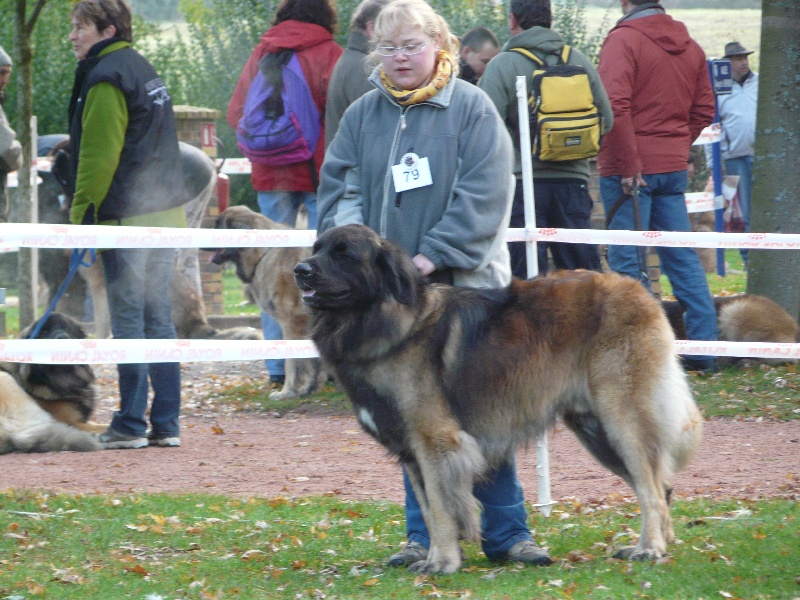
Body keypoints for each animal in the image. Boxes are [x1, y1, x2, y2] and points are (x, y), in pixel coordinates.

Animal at [206, 206, 324, 398]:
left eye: (217, 225)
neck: (263, 252)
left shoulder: (293, 323)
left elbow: (293, 362)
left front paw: (287, 391)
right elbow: (309, 362)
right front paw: (307, 388)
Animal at [294, 227, 700, 576]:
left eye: (343, 254)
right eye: (316, 249)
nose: (300, 270)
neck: (387, 319)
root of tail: (639, 290)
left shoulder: (436, 441)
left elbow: (441, 507)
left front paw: (441, 563)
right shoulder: (411, 451)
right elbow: (428, 509)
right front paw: (433, 556)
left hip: (621, 419)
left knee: (650, 487)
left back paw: (649, 548)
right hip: (595, 428)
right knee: (660, 484)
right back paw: (661, 542)